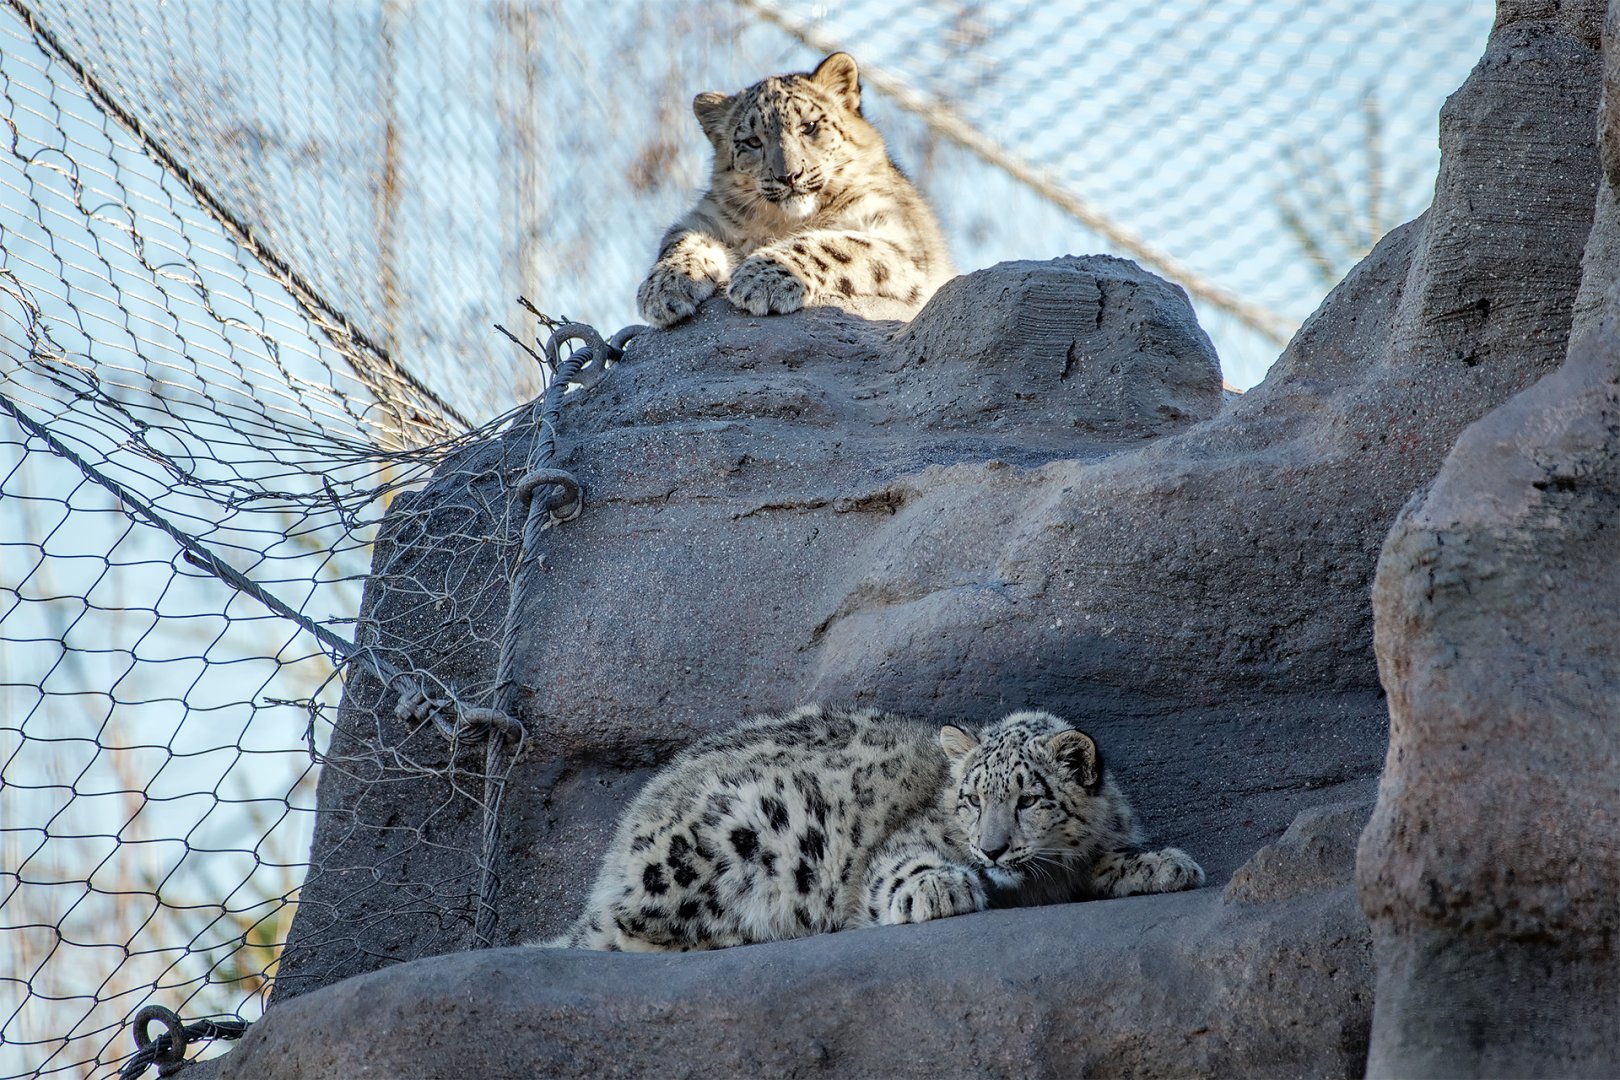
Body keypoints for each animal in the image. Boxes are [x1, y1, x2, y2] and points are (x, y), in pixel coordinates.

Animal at [541, 705, 1204, 952]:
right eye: (970, 800)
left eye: (1028, 800)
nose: (990, 850)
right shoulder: (902, 846)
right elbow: (900, 866)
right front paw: (944, 886)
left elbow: (1105, 856)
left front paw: (1164, 863)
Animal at [635, 52, 955, 329]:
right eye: (752, 141)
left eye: (809, 126)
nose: (788, 176)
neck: (786, 221)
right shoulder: (705, 218)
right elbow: (680, 241)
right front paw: (663, 289)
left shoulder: (900, 241)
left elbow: (837, 244)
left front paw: (760, 278)